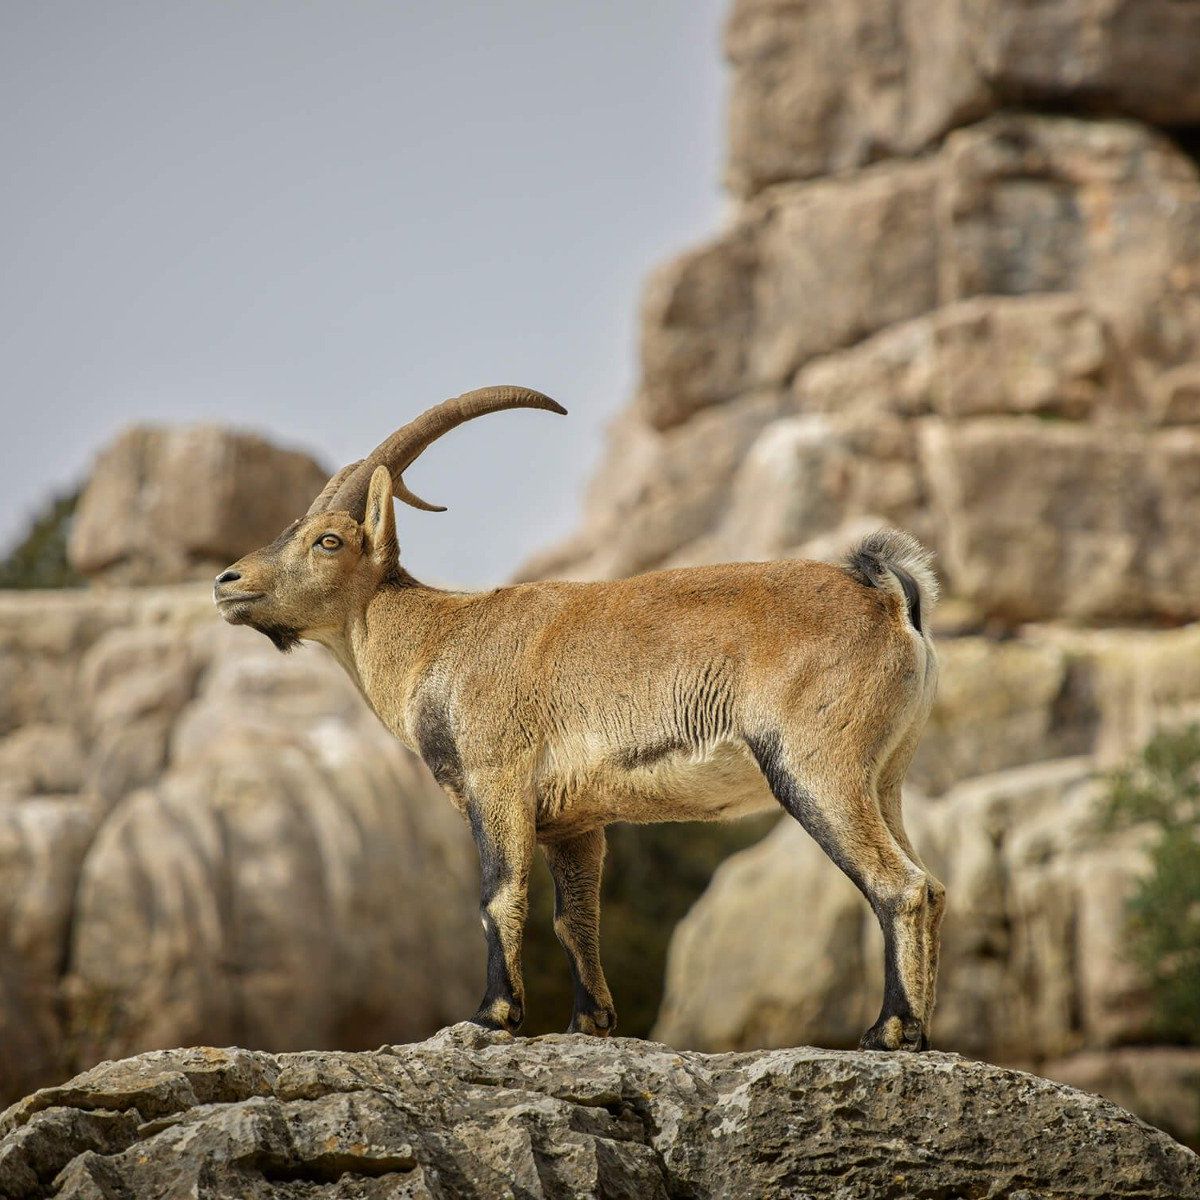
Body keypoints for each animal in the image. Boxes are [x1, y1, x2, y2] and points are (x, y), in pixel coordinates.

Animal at [216, 386, 945, 1051]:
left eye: (328, 540)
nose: (228, 582)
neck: (438, 641)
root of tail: (890, 600)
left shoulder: (497, 781)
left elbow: (499, 895)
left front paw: (492, 1017)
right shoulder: (575, 822)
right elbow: (576, 921)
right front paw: (588, 1024)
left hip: (817, 768)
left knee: (902, 886)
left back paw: (888, 1031)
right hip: (884, 778)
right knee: (931, 885)